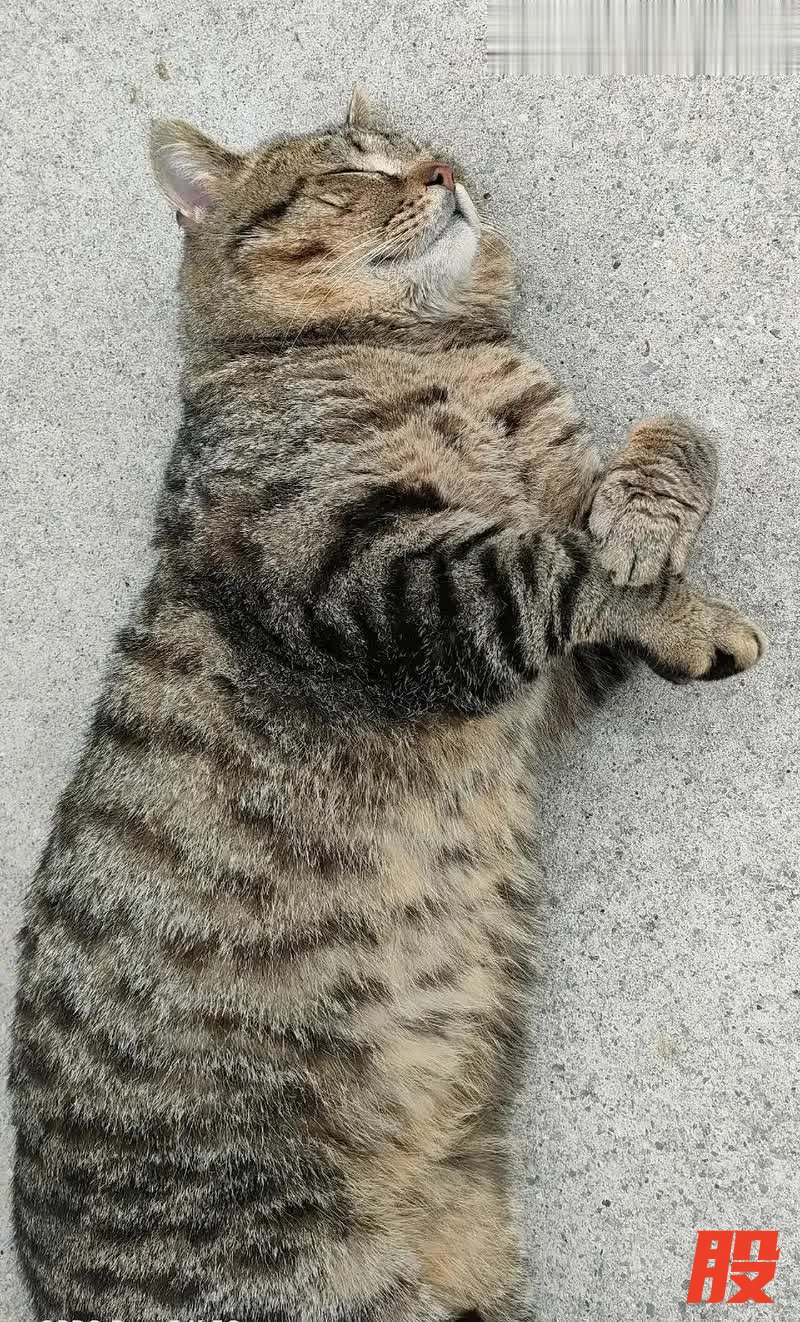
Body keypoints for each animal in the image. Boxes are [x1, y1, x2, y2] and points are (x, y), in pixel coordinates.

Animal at [9, 87, 764, 1322]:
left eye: (424, 147)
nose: (446, 171)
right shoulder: (380, 589)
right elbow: (546, 560)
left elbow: (673, 434)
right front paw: (663, 581)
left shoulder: (549, 676)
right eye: (349, 173)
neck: (429, 344)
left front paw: (652, 522)